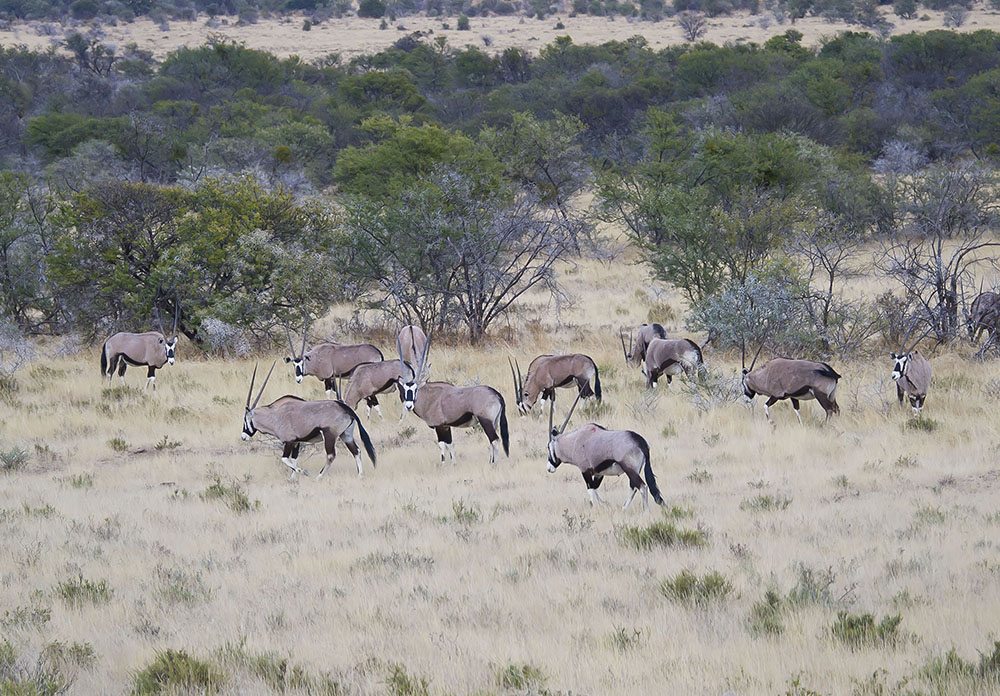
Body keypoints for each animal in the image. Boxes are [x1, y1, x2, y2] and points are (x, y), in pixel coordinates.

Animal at [241, 362, 376, 480]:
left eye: (245, 420)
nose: (243, 437)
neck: (275, 415)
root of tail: (345, 408)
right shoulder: (296, 442)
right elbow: (294, 459)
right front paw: (292, 479)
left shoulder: (289, 441)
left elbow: (284, 459)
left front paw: (304, 472)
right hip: (346, 435)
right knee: (356, 451)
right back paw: (360, 476)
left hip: (330, 436)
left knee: (331, 455)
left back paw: (318, 477)